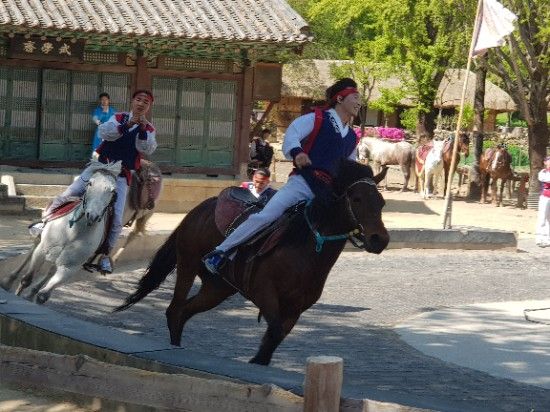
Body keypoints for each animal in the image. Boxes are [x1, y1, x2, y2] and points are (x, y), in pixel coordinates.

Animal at [117, 159, 392, 366]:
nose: (379, 239)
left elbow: (270, 344)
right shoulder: (264, 292)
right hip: (188, 263)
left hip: (218, 288)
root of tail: (200, 210)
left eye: (381, 202)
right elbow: (272, 334)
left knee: (183, 312)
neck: (307, 248)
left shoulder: (295, 309)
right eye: (356, 199)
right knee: (174, 310)